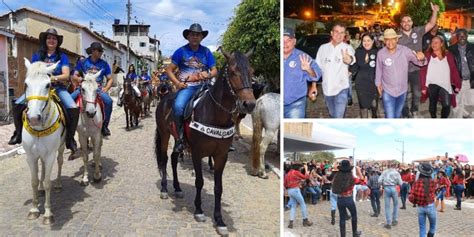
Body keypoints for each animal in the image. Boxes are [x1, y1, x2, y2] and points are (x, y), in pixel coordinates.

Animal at [22, 58, 65, 225]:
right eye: (26, 84)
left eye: (48, 85)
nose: (34, 118)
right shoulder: (30, 156)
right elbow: (34, 181)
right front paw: (34, 210)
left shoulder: (51, 155)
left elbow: (48, 183)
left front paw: (47, 213)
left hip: (60, 148)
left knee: (60, 162)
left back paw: (58, 184)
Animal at [155, 48, 256, 235]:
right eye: (233, 71)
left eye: (252, 72)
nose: (249, 104)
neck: (215, 114)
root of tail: (165, 97)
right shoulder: (197, 153)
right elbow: (199, 181)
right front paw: (199, 210)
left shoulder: (221, 156)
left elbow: (218, 187)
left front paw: (220, 220)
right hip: (164, 135)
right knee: (164, 159)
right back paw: (165, 189)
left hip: (177, 139)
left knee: (173, 158)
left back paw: (178, 188)